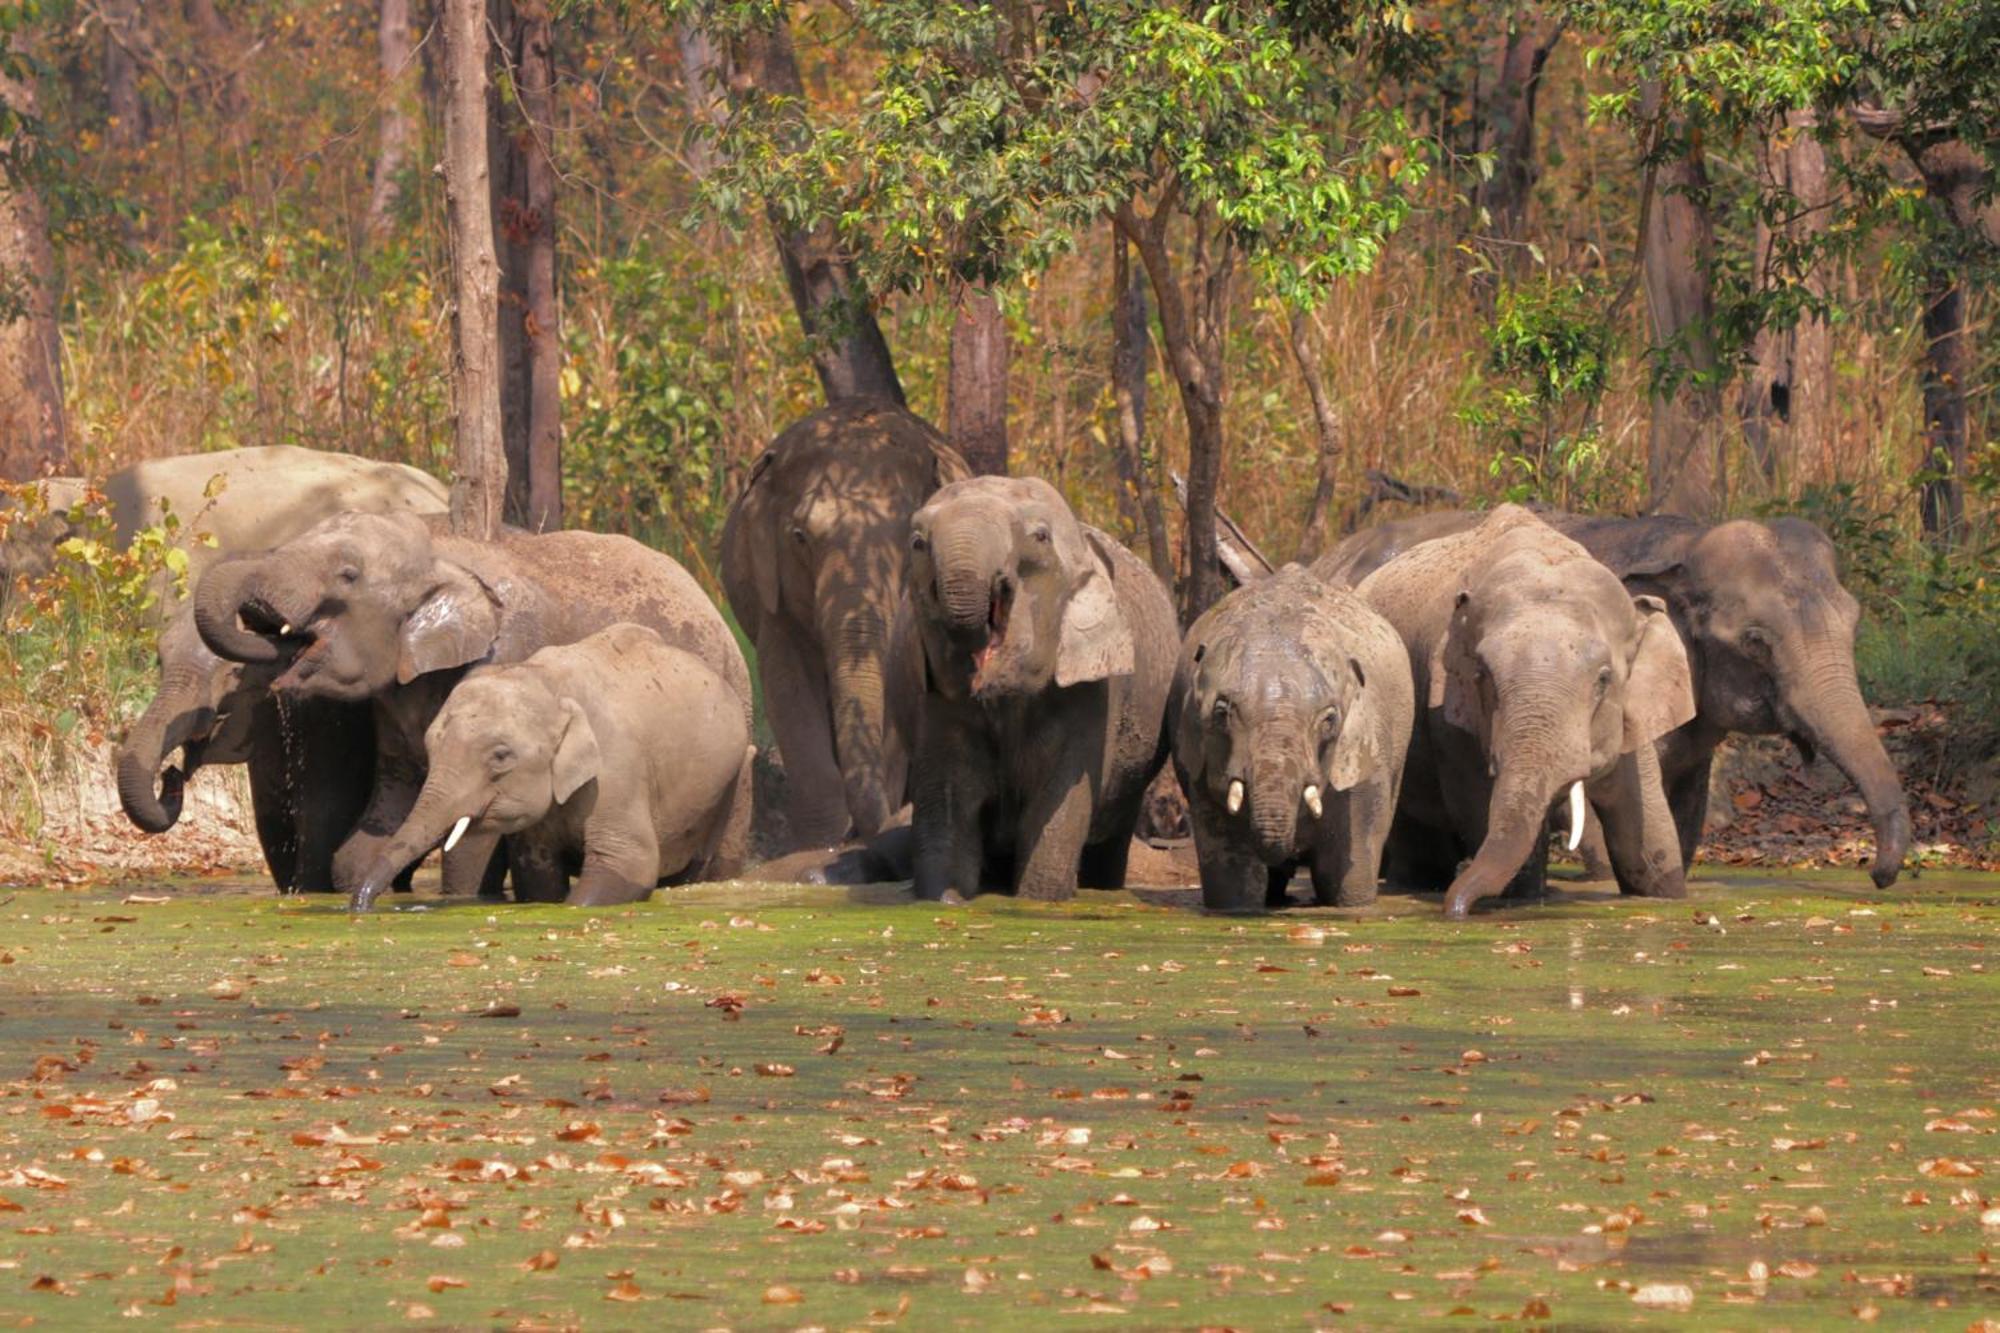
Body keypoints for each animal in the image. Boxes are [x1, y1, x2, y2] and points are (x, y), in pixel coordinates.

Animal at [111, 608, 376, 888]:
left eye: (236, 671)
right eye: (161, 662)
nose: (171, 773)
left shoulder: (330, 717)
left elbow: (325, 821)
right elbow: (274, 826)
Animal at [348, 624, 752, 904]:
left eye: (500, 756)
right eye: (431, 747)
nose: (360, 905)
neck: (548, 682)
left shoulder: (618, 770)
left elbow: (628, 864)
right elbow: (538, 875)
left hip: (733, 780)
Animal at [724, 400, 972, 844]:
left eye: (915, 541)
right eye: (800, 537)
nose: (864, 831)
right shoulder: (773, 597)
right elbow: (787, 685)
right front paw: (820, 842)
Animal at [904, 472, 1176, 896]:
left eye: (1040, 537)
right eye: (917, 543)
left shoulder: (1094, 694)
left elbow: (1057, 807)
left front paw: (1038, 900)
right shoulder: (936, 699)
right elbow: (947, 803)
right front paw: (945, 899)